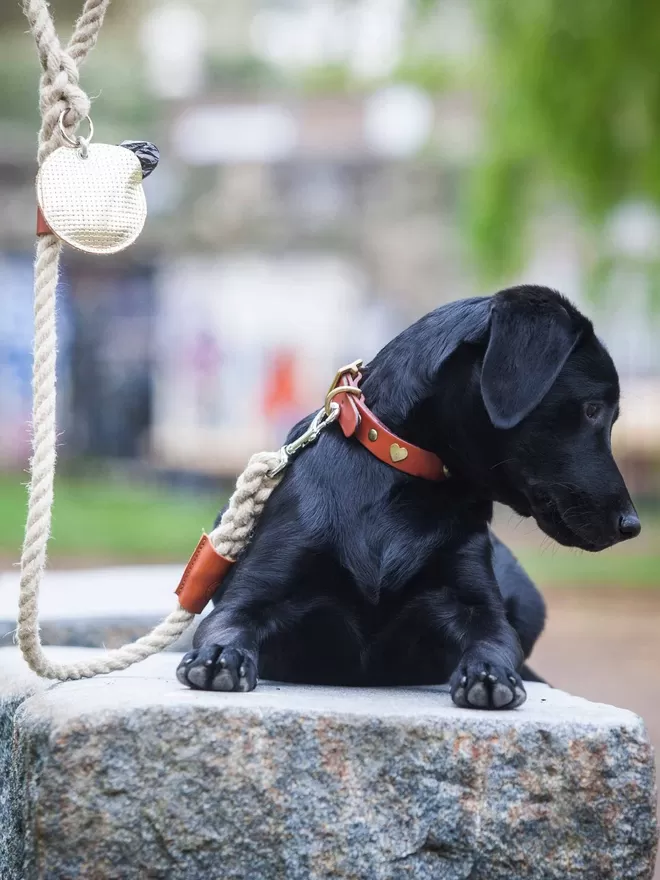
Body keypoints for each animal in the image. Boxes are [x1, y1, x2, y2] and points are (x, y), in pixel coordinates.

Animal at [175, 286, 640, 712]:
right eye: (593, 409)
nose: (632, 525)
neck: (402, 484)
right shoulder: (252, 595)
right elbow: (226, 625)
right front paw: (219, 656)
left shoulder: (478, 606)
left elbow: (494, 640)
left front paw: (489, 673)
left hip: (528, 601)